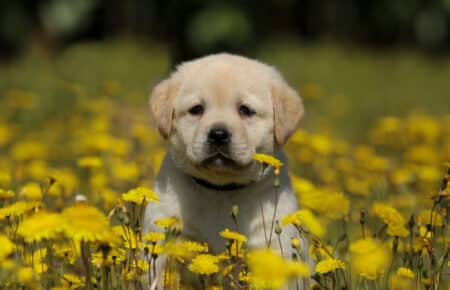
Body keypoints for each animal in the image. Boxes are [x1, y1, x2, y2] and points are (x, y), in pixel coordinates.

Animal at [144, 52, 310, 286]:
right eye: (197, 109)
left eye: (245, 110)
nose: (218, 134)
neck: (220, 191)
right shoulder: (166, 239)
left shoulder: (273, 246)